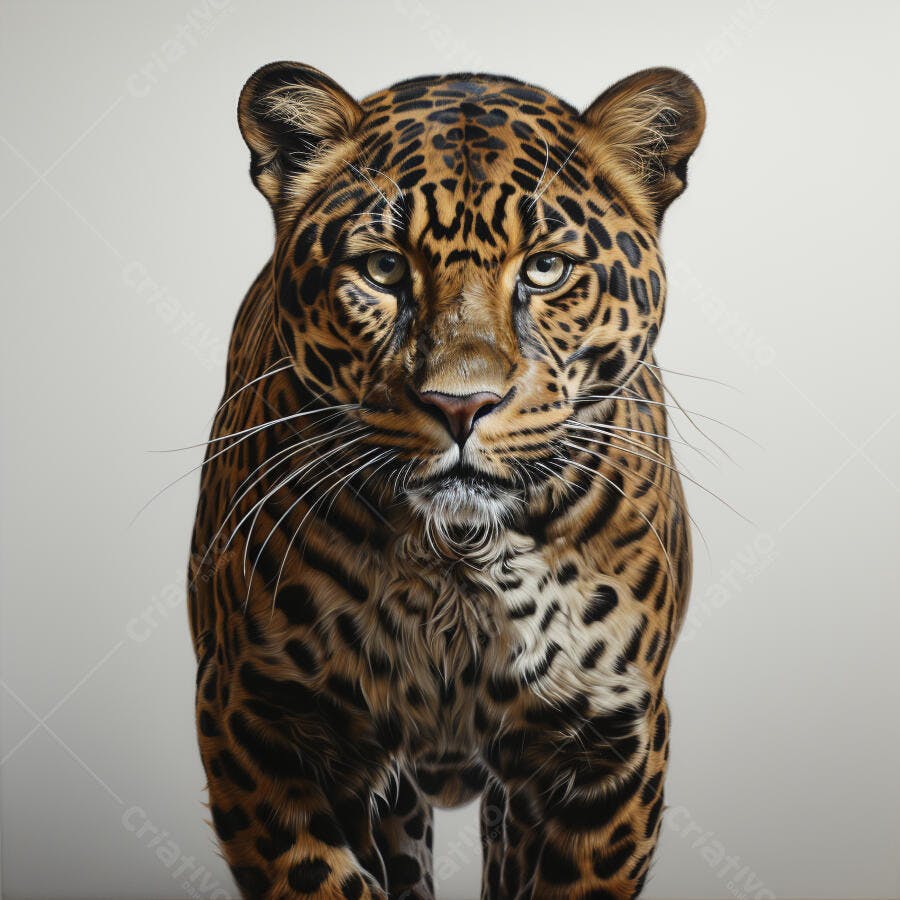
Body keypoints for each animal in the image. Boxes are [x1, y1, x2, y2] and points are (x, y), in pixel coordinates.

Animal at [189, 60, 704, 900]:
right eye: (384, 268)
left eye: (546, 268)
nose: (461, 404)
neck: (457, 560)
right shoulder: (257, 721)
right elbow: (322, 880)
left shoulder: (608, 743)